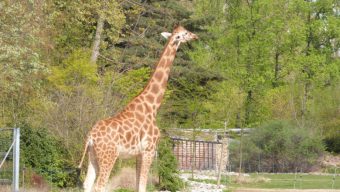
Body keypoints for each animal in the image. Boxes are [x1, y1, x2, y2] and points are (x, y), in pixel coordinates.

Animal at [77, 25, 198, 192]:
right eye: (185, 33)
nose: (195, 36)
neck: (153, 105)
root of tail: (91, 137)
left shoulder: (138, 154)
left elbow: (137, 185)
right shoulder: (149, 151)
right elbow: (142, 186)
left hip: (93, 156)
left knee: (87, 184)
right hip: (109, 156)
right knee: (99, 186)